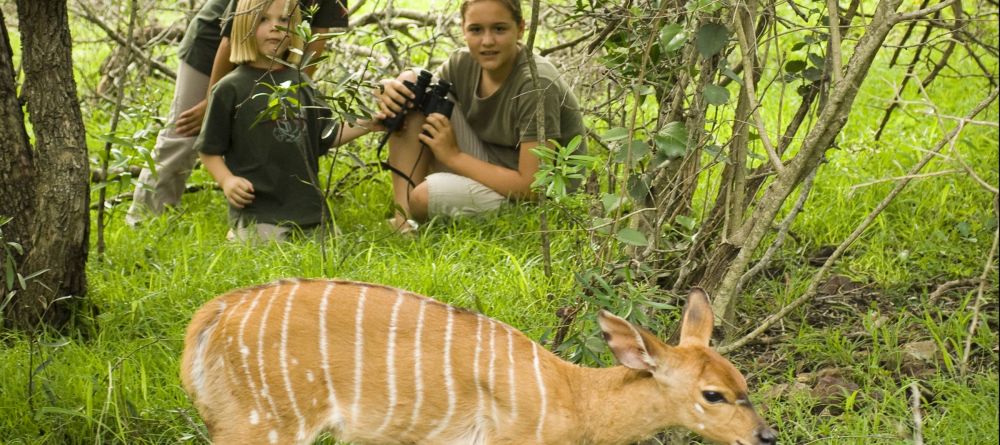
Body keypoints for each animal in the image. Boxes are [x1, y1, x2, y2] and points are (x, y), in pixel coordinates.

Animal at [180, 280, 776, 442]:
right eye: (713, 395)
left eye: (744, 380)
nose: (766, 437)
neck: (573, 397)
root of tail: (208, 322)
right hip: (266, 424)